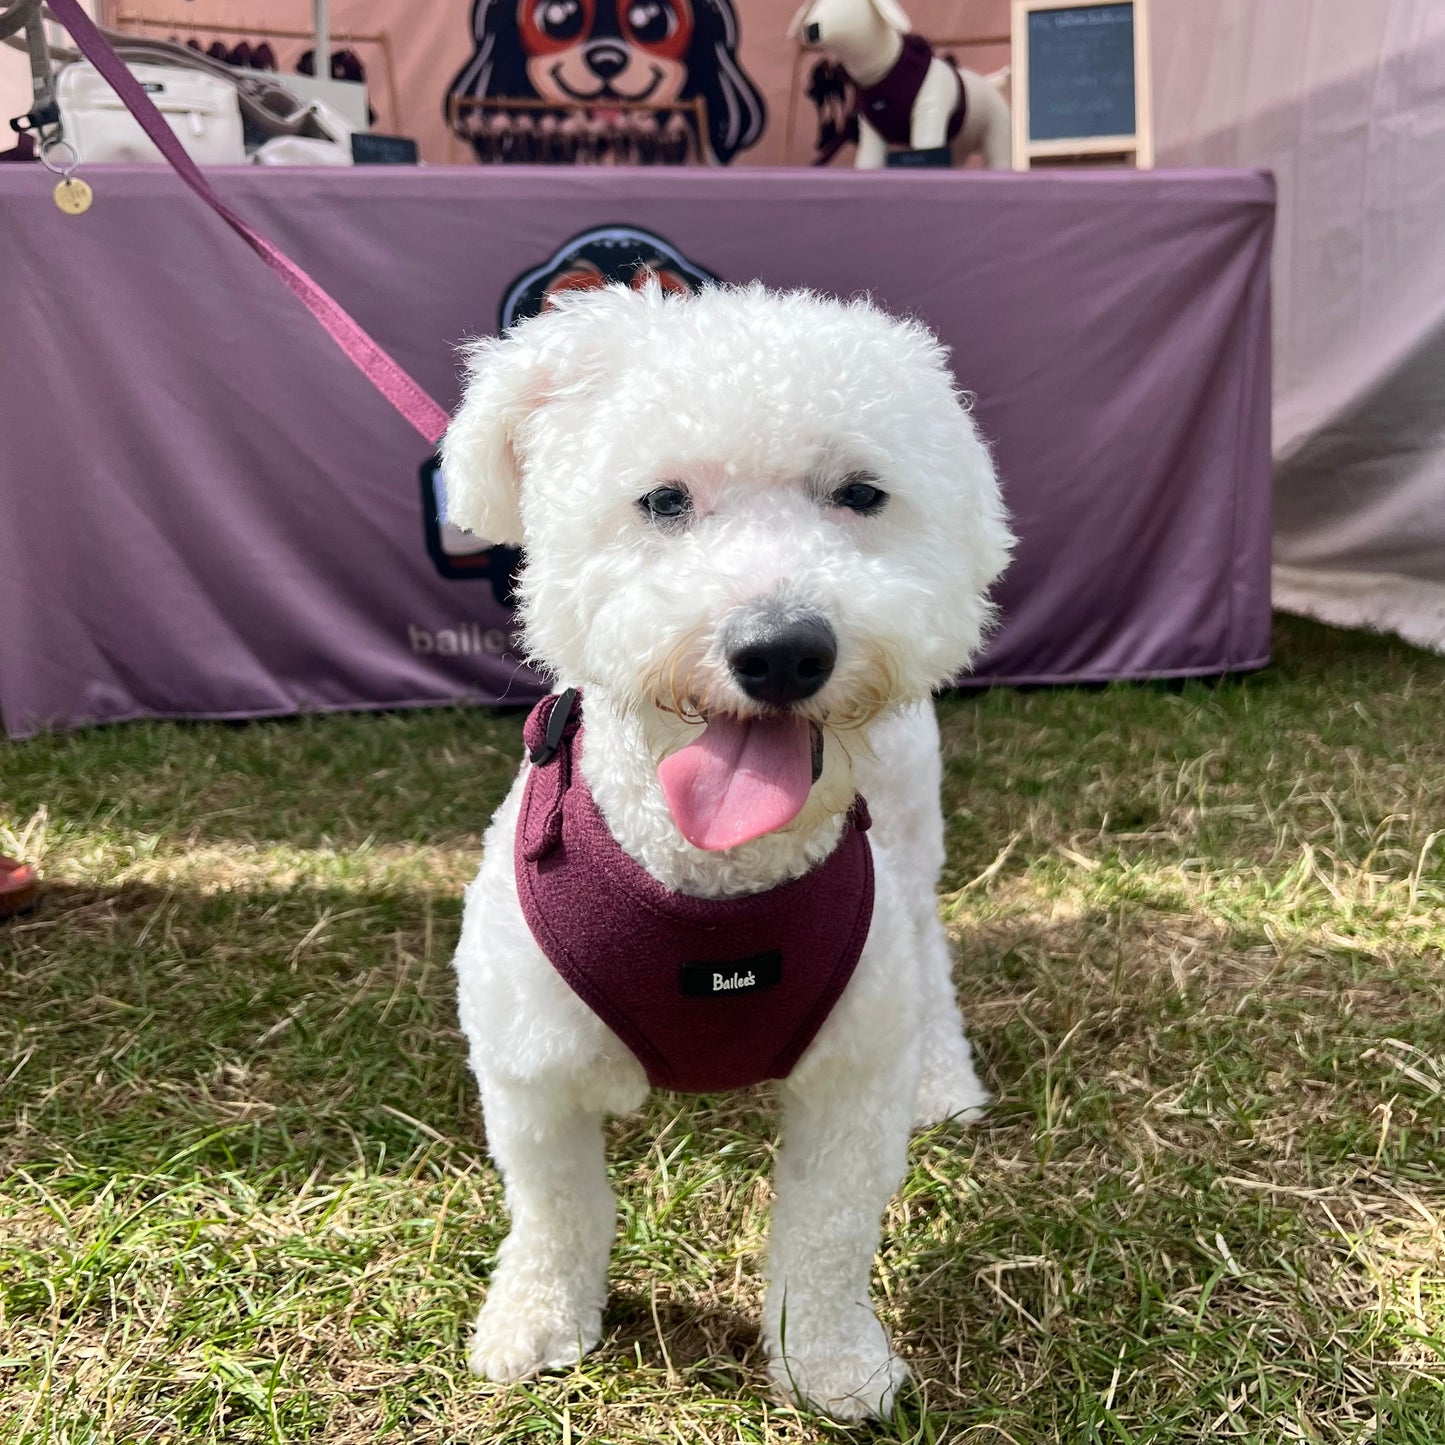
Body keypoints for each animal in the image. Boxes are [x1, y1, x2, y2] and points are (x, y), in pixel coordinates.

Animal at [442, 281, 1017, 1421]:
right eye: (662, 500)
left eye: (859, 493)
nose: (781, 649)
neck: (712, 882)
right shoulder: (529, 1065)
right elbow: (555, 1208)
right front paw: (536, 1321)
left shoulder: (850, 1078)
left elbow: (827, 1238)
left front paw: (830, 1364)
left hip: (911, 846)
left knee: (928, 957)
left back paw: (941, 1076)